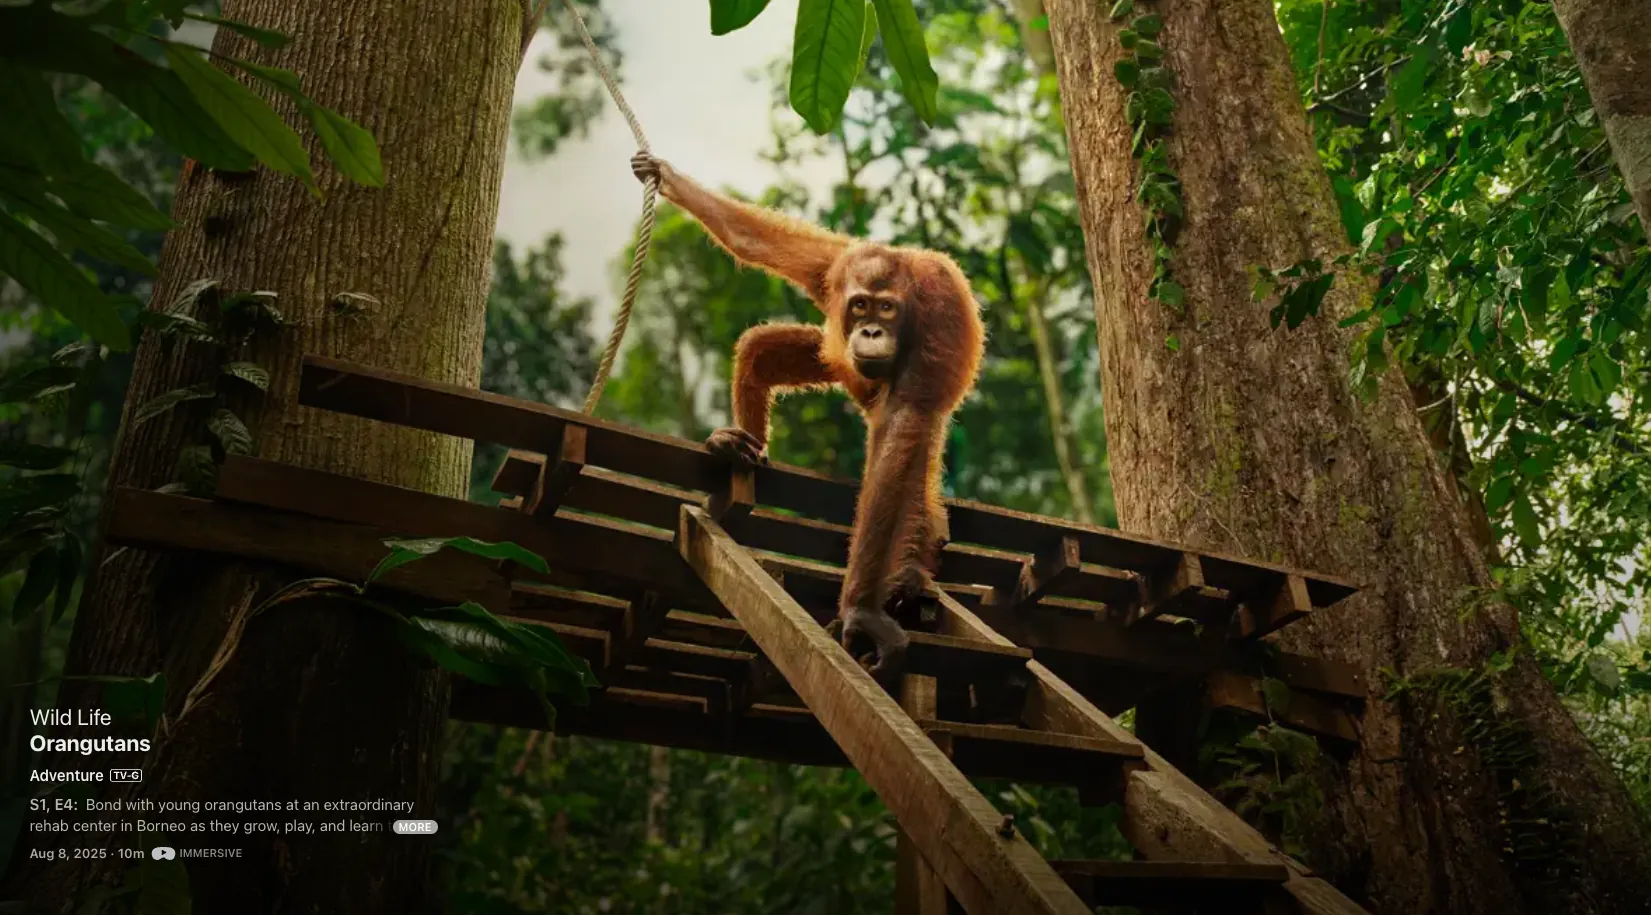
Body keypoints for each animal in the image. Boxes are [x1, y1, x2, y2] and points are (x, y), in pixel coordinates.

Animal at [631, 152, 985, 684]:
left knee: (908, 445)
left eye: (886, 308)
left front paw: (861, 613)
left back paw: (908, 577)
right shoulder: (833, 272)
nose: (871, 331)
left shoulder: (937, 319)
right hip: (836, 359)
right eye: (860, 305)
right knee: (760, 349)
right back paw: (738, 448)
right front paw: (667, 178)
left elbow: (903, 429)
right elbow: (758, 241)